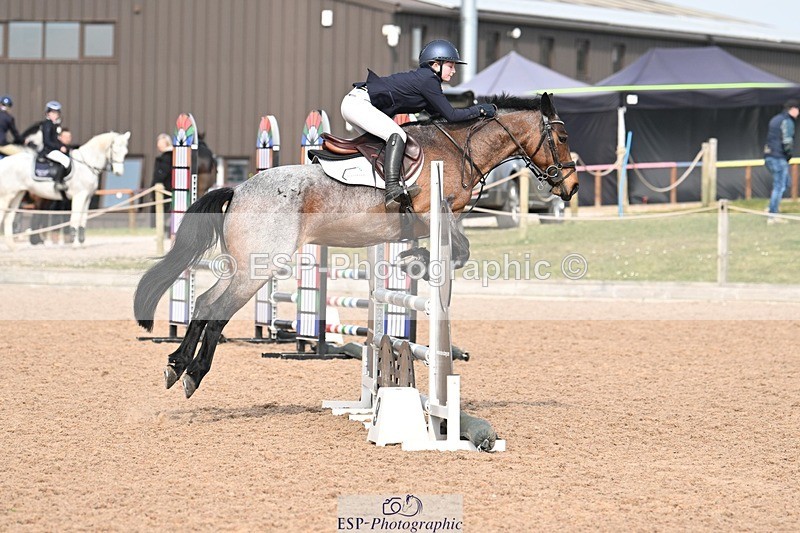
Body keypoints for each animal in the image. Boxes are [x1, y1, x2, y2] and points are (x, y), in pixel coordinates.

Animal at [0, 131, 131, 249]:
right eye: (115, 150)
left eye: (125, 152)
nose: (119, 172)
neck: (86, 164)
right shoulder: (79, 195)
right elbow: (76, 218)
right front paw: (75, 244)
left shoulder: (87, 197)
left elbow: (83, 219)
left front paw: (81, 242)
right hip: (7, 195)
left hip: (18, 194)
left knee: (9, 218)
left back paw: (12, 246)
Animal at [134, 93, 578, 399]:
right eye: (562, 135)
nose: (571, 186)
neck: (458, 149)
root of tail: (238, 189)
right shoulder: (436, 214)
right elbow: (461, 251)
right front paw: (416, 260)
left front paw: (412, 259)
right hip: (260, 268)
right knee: (217, 310)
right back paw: (192, 374)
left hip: (244, 266)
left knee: (204, 301)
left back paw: (176, 365)